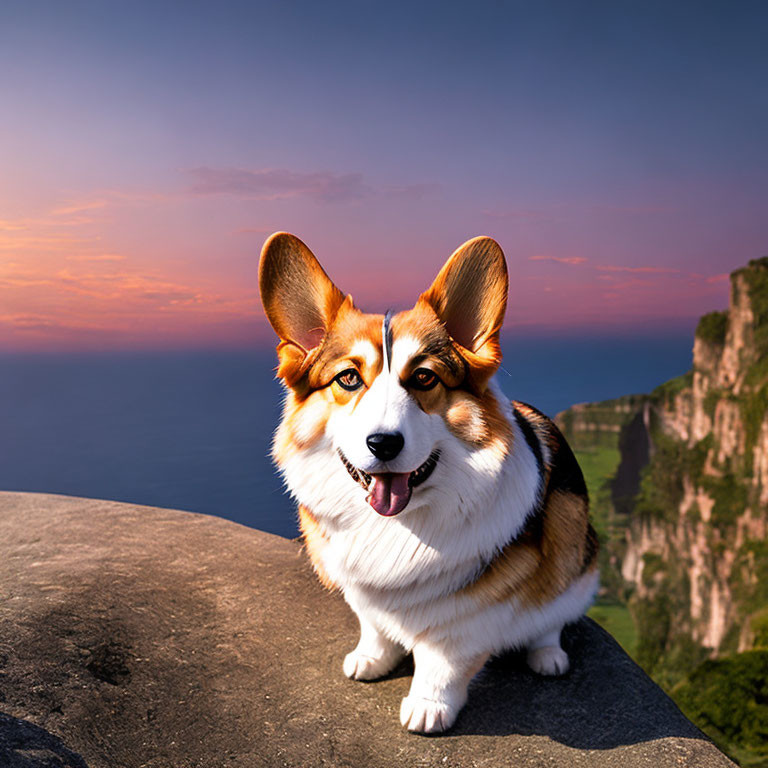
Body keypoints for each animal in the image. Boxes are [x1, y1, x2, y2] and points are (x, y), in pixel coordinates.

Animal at [260, 232, 600, 732]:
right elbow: (374, 626)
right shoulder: (364, 596)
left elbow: (443, 662)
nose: (383, 443)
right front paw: (371, 659)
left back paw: (547, 655)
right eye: (348, 378)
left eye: (424, 377)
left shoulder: (469, 614)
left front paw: (428, 707)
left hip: (574, 543)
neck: (398, 525)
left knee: (551, 614)